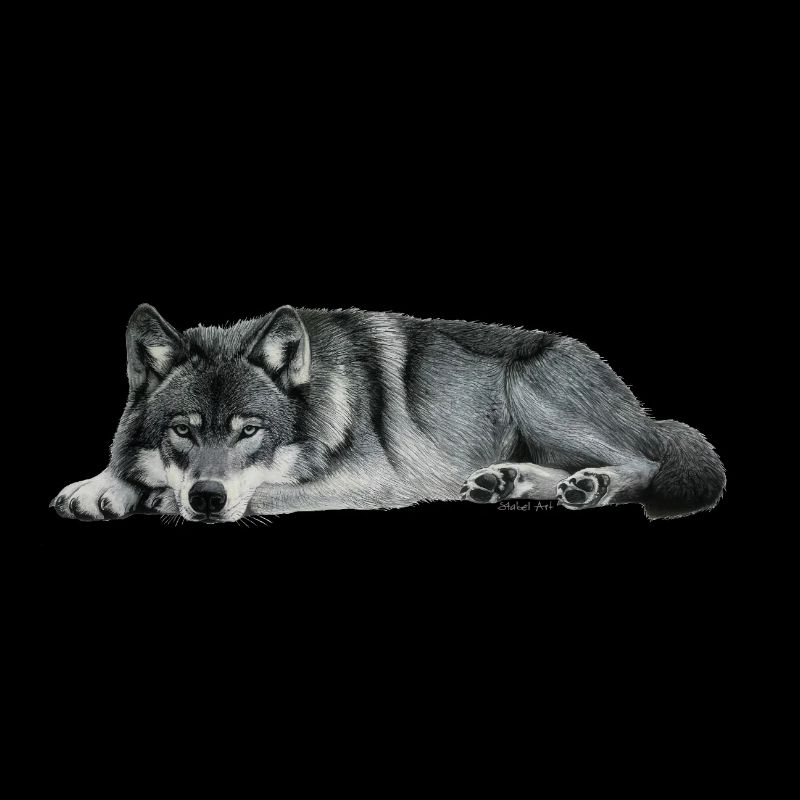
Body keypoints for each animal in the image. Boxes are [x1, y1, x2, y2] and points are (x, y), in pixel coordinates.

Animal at [51, 304, 725, 523]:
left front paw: (156, 498)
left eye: (250, 431)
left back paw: (591, 485)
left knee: (644, 463)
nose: (208, 498)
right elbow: (126, 467)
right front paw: (100, 487)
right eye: (183, 430)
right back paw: (507, 481)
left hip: (535, 391)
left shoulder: (374, 481)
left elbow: (263, 490)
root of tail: (643, 409)